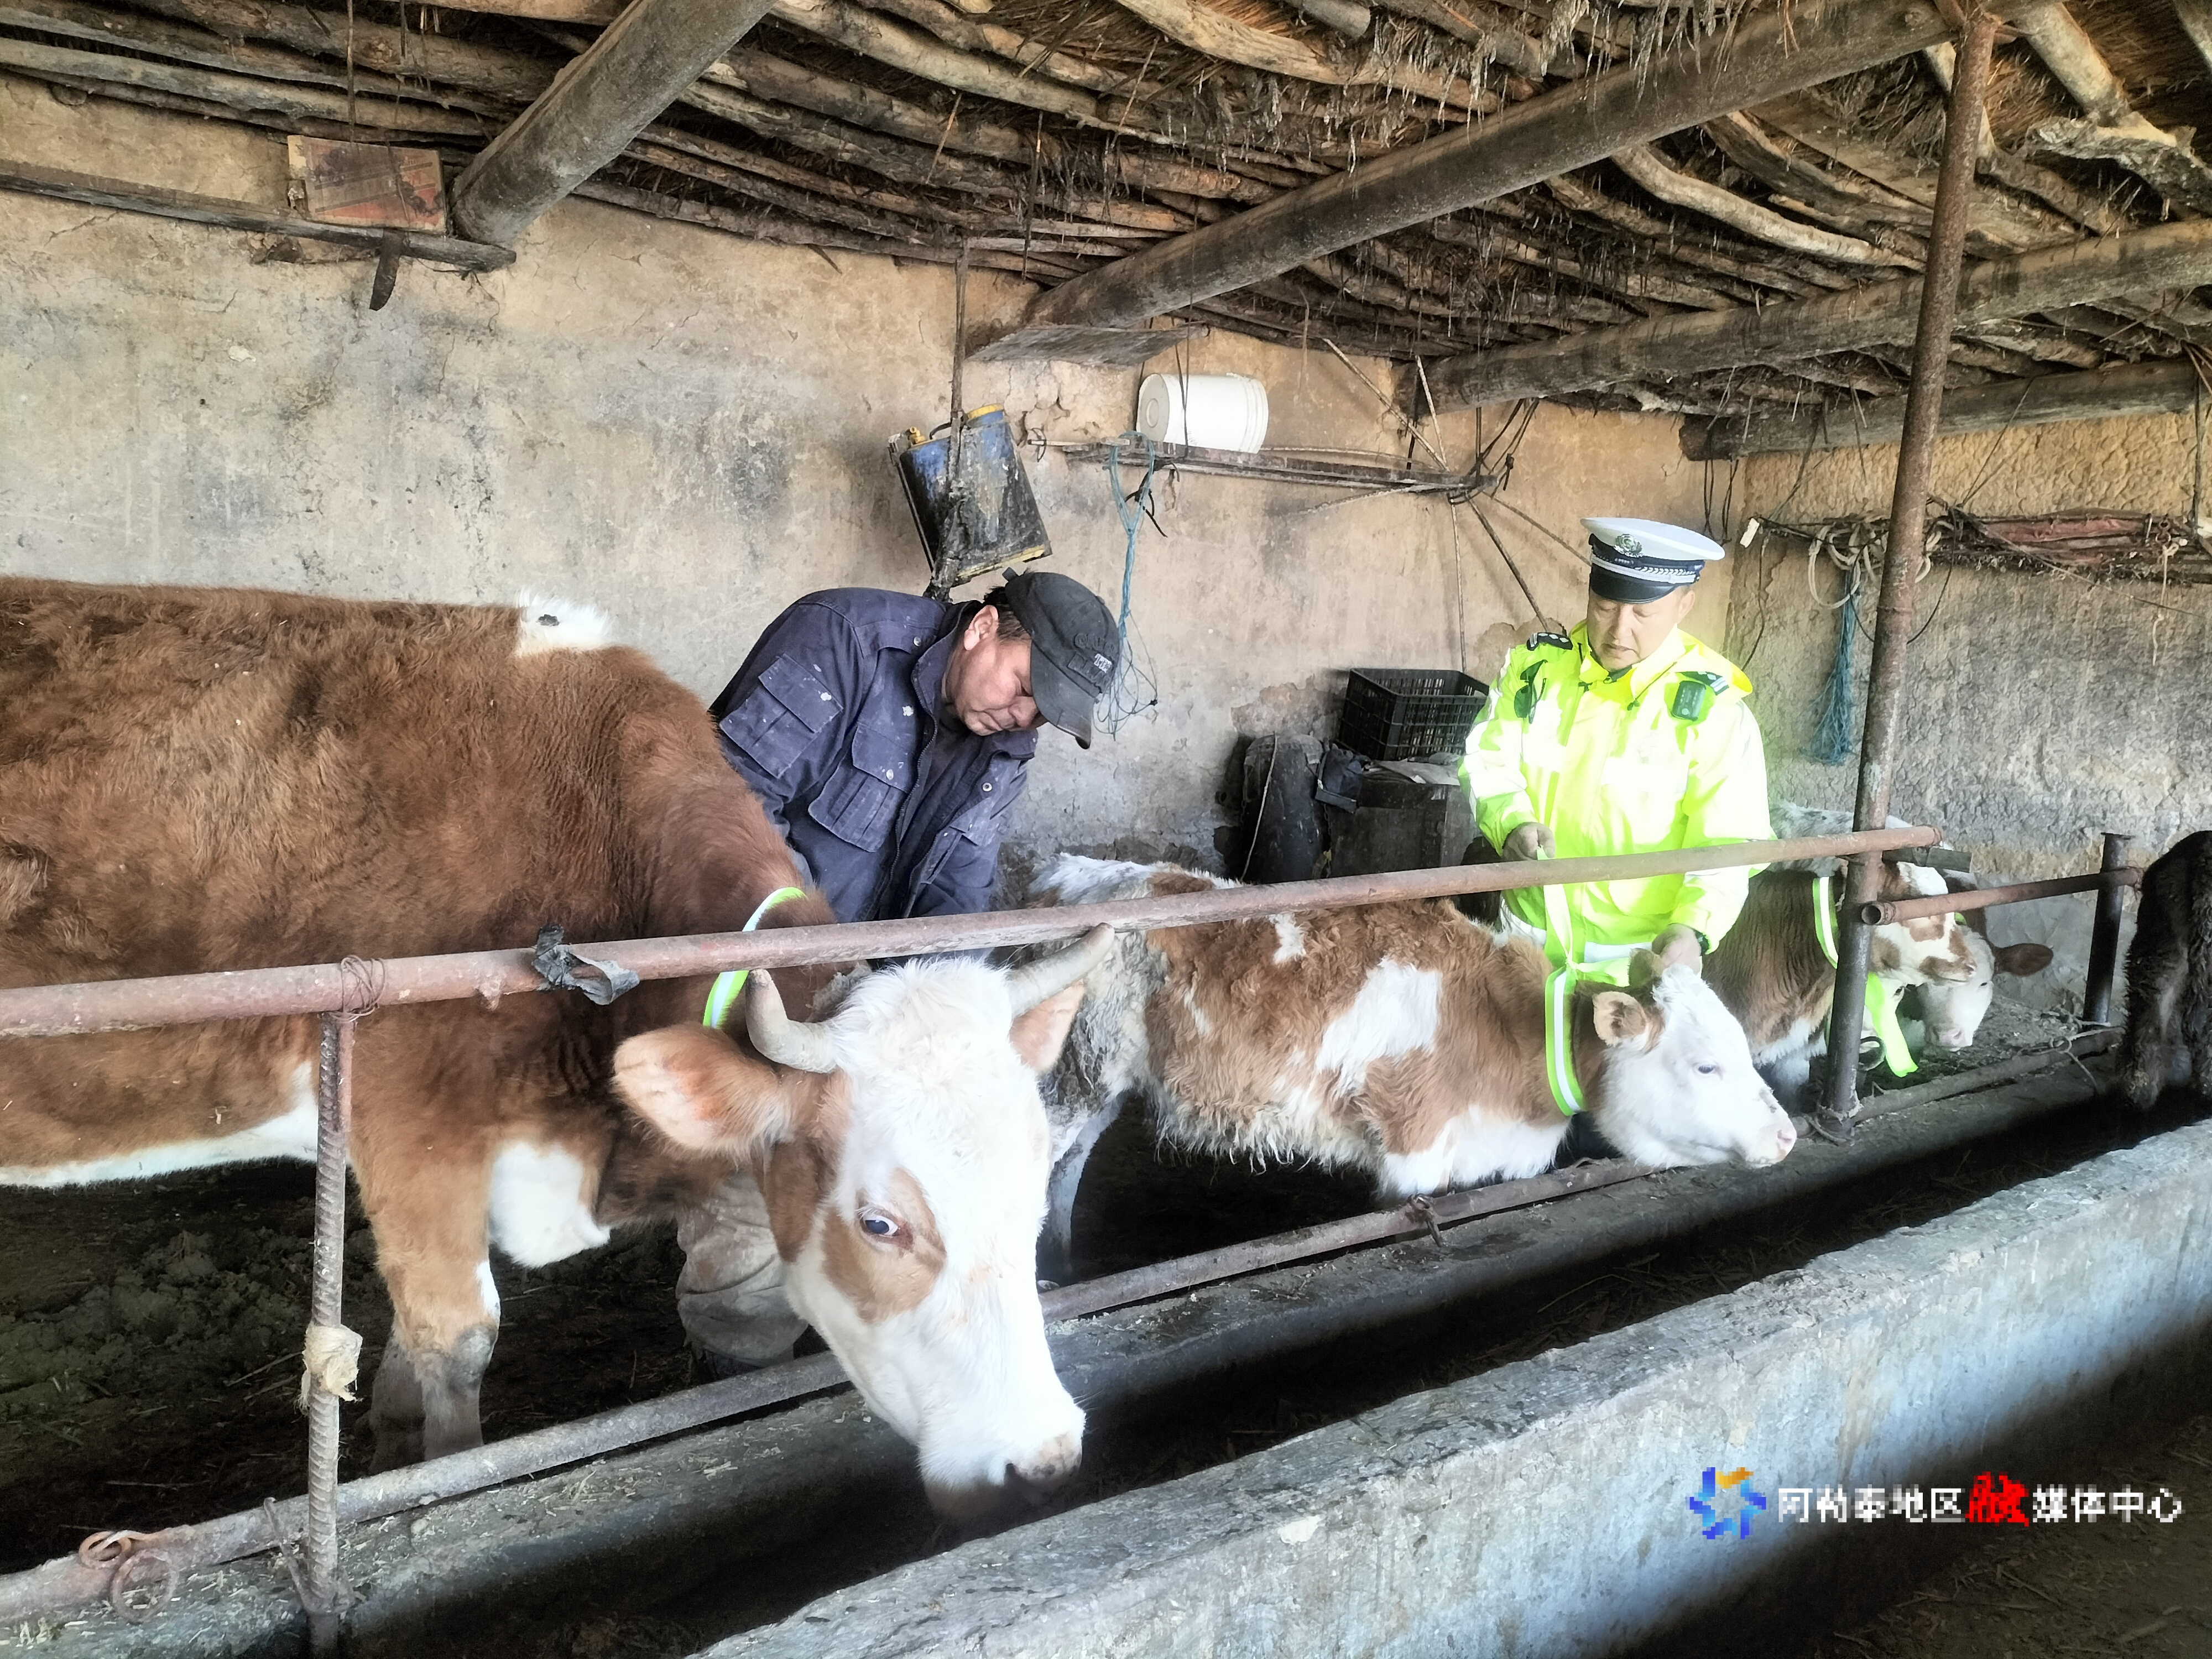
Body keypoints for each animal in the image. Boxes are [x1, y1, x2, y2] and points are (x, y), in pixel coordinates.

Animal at [0, 577, 1104, 1518]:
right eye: (879, 1224)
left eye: (1033, 1189)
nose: (1043, 1456)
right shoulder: (410, 1116)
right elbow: (458, 1341)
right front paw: (444, 1486)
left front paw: (395, 1452)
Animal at [1025, 855, 1797, 1267]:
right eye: (1705, 1066)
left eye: (1742, 1048)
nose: (1787, 1134)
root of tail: (1069, 872)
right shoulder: (1412, 1149)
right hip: (1067, 1078)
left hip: (1103, 1078)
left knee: (1069, 1165)